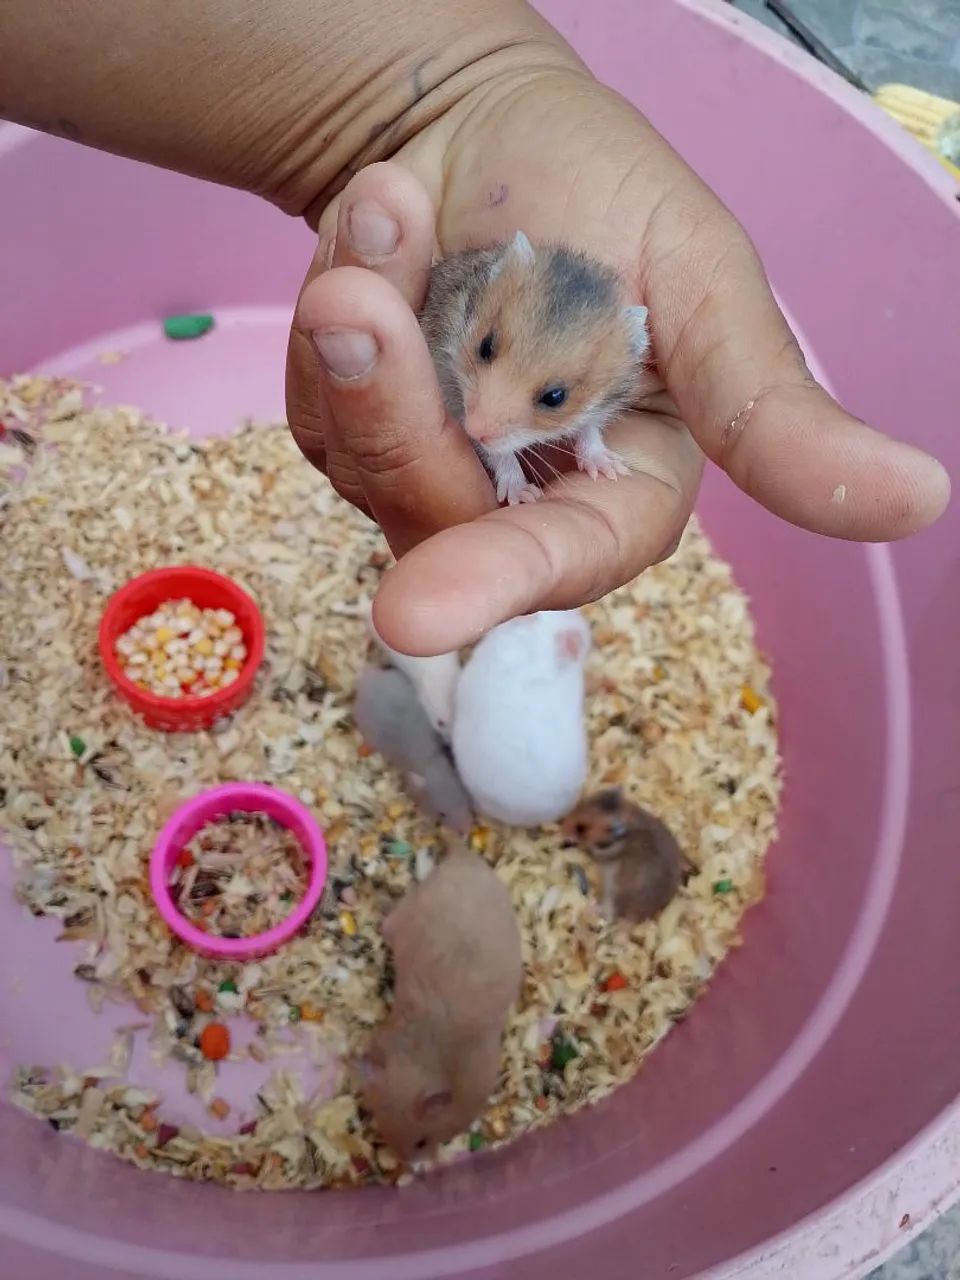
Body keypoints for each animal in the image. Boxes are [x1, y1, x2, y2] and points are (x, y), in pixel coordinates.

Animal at [419, 231, 650, 506]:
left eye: (555, 397)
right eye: (485, 346)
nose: (473, 430)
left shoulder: (602, 405)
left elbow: (588, 429)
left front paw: (611, 469)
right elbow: (500, 454)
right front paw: (524, 495)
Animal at [561, 788, 694, 922]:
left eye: (581, 828)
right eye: (580, 804)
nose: (562, 829)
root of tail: (639, 915)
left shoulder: (604, 853)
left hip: (613, 893)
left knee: (609, 915)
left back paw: (591, 908)